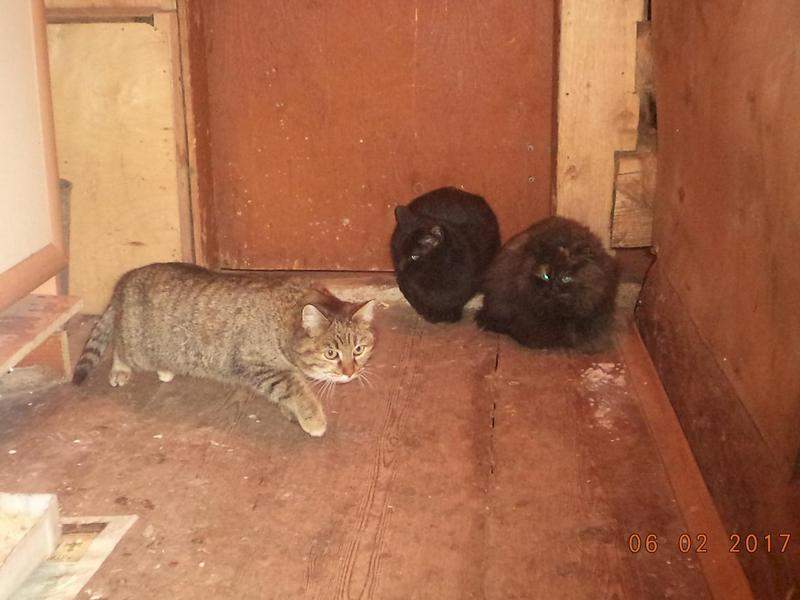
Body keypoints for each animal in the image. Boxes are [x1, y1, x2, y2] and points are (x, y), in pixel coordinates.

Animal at [72, 263, 376, 437]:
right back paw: (120, 370)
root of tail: (126, 279)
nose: (350, 372)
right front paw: (313, 419)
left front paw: (294, 413)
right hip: (137, 345)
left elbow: (293, 391)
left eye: (359, 349)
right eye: (331, 353)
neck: (282, 319)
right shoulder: (260, 367)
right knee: (119, 346)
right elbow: (296, 390)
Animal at [390, 187, 500, 323]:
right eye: (398, 251)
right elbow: (415, 296)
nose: (400, 266)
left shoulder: (469, 281)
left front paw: (450, 313)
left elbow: (457, 297)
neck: (435, 273)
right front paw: (429, 312)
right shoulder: (407, 283)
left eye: (414, 256)